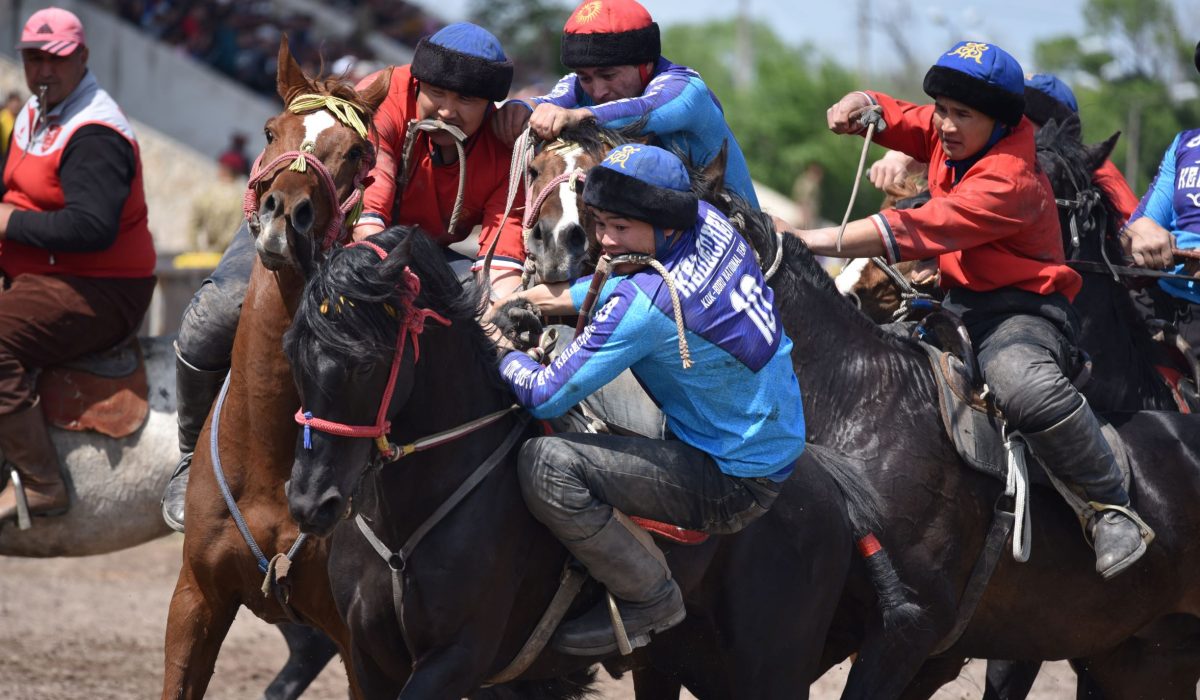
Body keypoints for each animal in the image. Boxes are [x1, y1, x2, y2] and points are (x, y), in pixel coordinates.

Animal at [159, 39, 388, 700]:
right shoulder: (197, 600)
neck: (270, 456)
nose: (287, 213)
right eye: (270, 131)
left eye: (357, 153)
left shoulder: (367, 647)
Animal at [280, 226, 907, 700]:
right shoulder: (368, 660)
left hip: (767, 673)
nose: (311, 501)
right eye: (294, 350)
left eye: (366, 362)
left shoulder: (453, 660)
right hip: (673, 665)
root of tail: (822, 477)